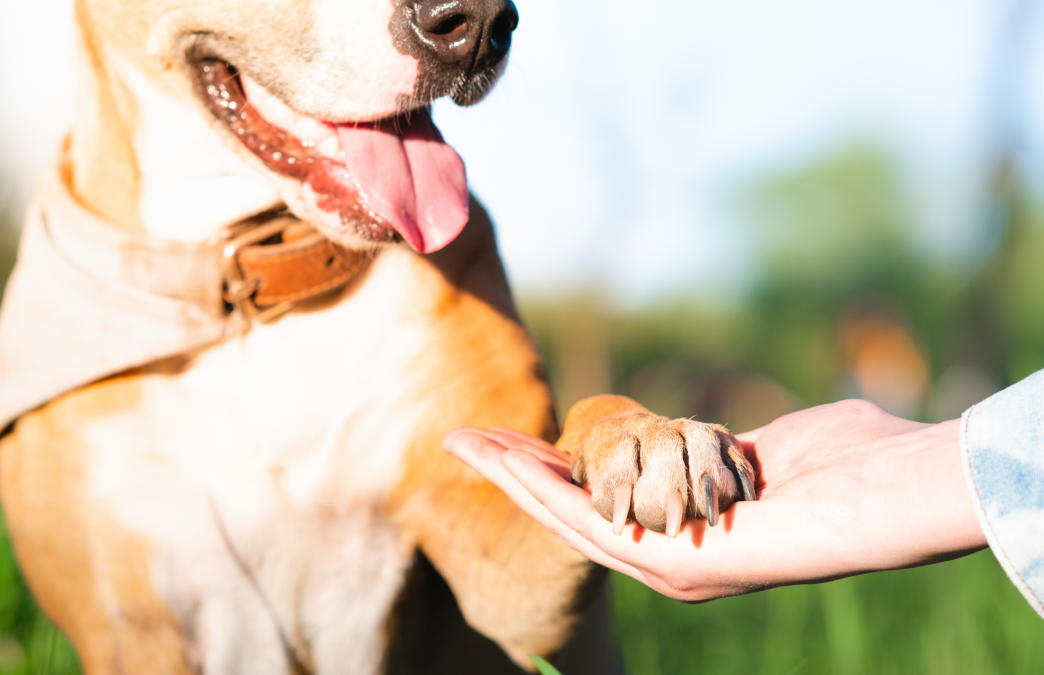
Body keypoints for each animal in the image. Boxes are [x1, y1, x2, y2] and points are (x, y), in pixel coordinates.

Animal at [0, 0, 751, 671]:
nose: (478, 22)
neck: (260, 301)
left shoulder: (507, 579)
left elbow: (590, 422)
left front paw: (650, 436)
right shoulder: (132, 623)